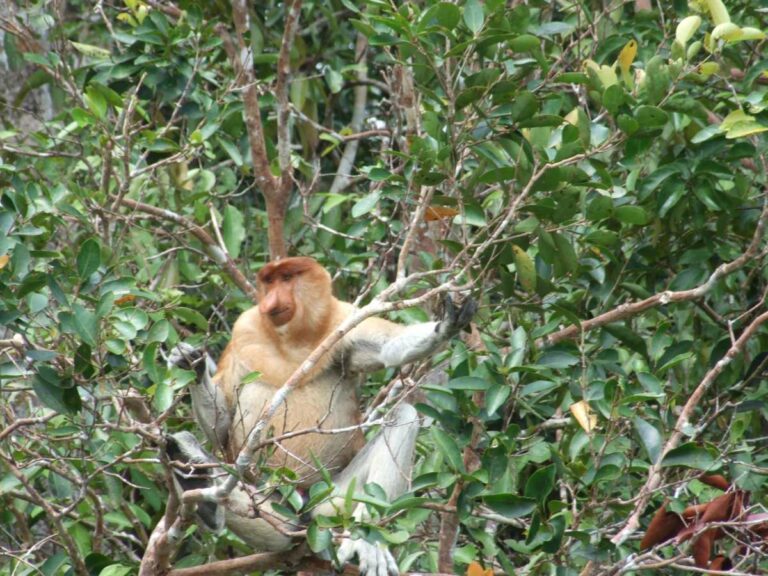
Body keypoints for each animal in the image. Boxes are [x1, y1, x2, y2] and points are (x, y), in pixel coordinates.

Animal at [170, 256, 475, 575]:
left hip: (332, 502)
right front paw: (190, 364)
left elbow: (391, 348)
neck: (291, 340)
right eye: (269, 282)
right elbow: (222, 425)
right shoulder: (245, 329)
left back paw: (367, 540)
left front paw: (446, 325)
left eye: (287, 278)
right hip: (269, 507)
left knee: (404, 414)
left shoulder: (344, 318)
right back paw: (194, 473)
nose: (269, 302)